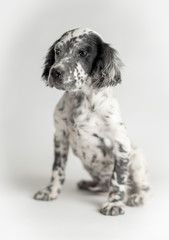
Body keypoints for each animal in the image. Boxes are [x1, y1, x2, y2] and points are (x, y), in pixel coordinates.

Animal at [33, 27, 150, 216]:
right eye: (57, 51)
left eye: (82, 53)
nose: (55, 72)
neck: (81, 99)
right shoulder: (60, 136)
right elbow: (57, 169)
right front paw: (51, 192)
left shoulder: (120, 144)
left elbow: (118, 178)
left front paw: (114, 204)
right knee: (102, 185)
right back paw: (89, 184)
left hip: (137, 159)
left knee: (144, 187)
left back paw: (137, 197)